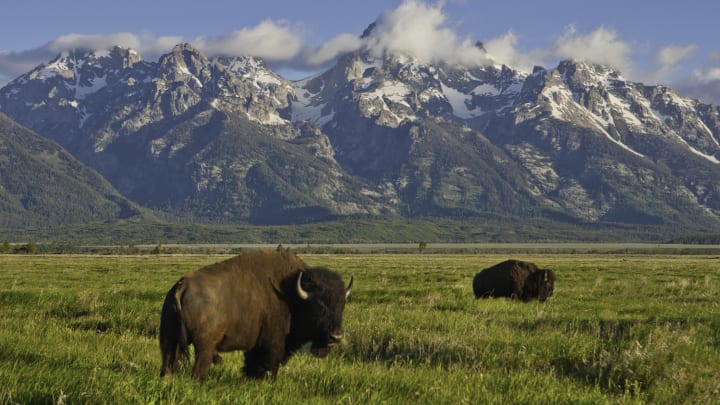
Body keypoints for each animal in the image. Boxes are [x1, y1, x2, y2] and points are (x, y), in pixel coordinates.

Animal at [162, 249, 356, 378]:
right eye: (318, 306)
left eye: (342, 305)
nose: (336, 336)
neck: (293, 294)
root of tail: (182, 286)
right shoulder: (273, 344)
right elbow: (270, 366)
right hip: (204, 345)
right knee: (199, 369)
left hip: (169, 341)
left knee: (167, 365)